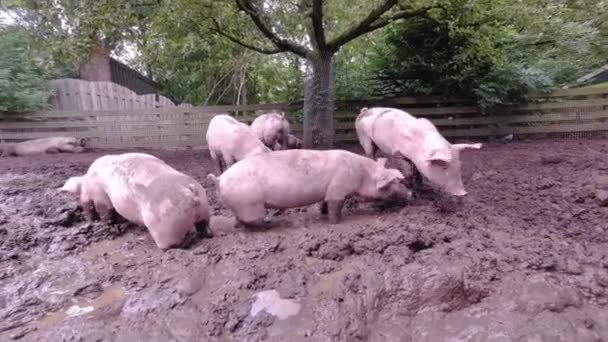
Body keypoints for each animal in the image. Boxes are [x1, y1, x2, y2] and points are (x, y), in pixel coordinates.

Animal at [59, 152, 211, 248]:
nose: (90, 220)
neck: (86, 183)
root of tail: (189, 190)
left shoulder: (99, 195)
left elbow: (105, 211)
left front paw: (105, 223)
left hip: (166, 227)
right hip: (204, 209)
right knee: (204, 227)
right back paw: (205, 234)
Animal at [207, 149, 410, 227]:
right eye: (395, 183)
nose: (410, 194)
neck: (362, 174)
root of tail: (220, 178)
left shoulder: (328, 190)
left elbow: (325, 203)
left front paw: (323, 214)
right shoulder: (339, 187)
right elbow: (336, 206)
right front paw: (335, 222)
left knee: (238, 219)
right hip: (249, 203)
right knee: (252, 221)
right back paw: (269, 224)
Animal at [354, 108, 482, 196]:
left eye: (459, 165)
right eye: (444, 167)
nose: (463, 193)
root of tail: (364, 110)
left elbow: (418, 172)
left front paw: (423, 188)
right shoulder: (398, 153)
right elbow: (408, 172)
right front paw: (412, 192)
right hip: (363, 138)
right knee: (369, 154)